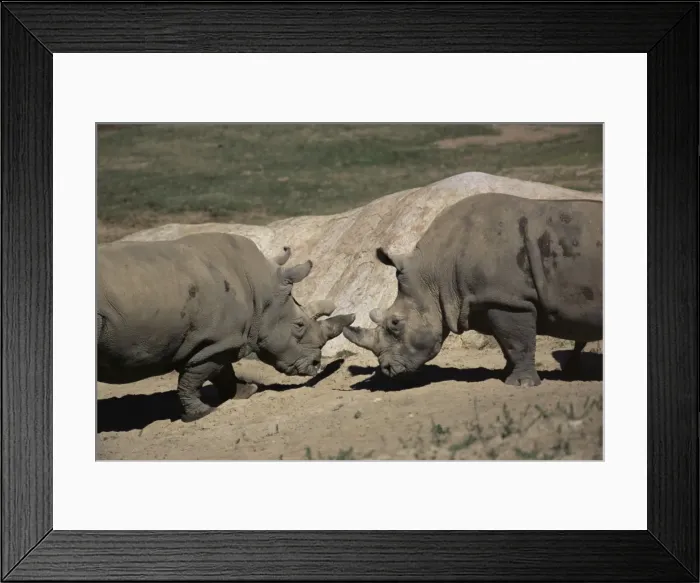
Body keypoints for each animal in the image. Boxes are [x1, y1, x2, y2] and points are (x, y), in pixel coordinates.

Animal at [97, 233, 355, 422]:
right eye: (299, 325)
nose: (316, 365)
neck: (260, 292)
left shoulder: (222, 341)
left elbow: (223, 373)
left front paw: (246, 392)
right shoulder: (214, 342)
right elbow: (193, 378)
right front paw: (200, 414)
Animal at [343, 192, 602, 387]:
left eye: (395, 323)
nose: (387, 369)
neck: (435, 273)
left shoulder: (509, 300)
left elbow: (517, 341)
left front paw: (521, 384)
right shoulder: (491, 299)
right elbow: (507, 342)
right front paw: (505, 375)